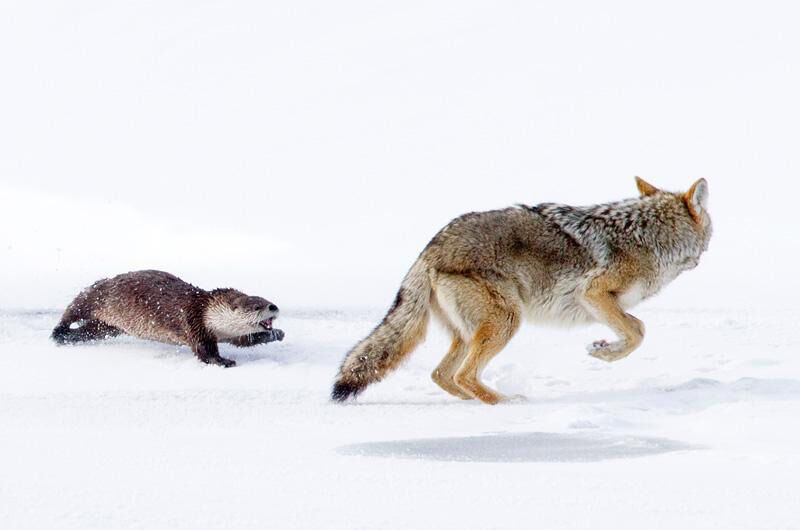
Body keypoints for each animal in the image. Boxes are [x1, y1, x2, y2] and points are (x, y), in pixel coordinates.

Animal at [50, 270, 284, 366]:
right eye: (257, 306)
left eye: (267, 299)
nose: (274, 307)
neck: (208, 312)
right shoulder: (194, 322)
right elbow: (204, 351)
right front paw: (224, 361)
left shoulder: (227, 333)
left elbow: (244, 340)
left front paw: (276, 333)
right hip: (95, 296)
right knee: (73, 310)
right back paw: (58, 333)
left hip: (108, 326)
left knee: (90, 330)